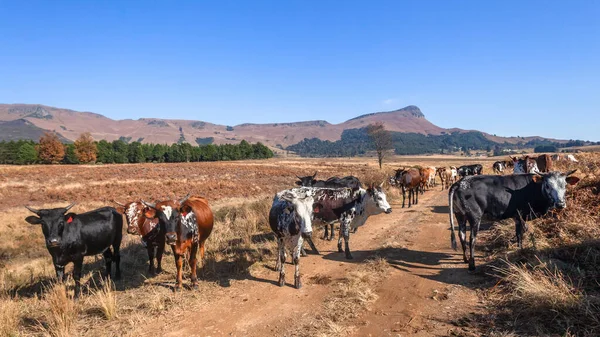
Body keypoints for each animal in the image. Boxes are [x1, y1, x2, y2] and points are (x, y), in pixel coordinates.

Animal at [448, 169, 580, 270]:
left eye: (565, 185)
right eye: (548, 185)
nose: (560, 204)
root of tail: (460, 183)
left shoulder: (517, 217)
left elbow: (519, 233)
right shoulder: (520, 216)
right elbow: (521, 234)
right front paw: (520, 251)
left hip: (460, 215)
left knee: (462, 235)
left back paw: (465, 258)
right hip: (475, 217)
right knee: (472, 238)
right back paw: (472, 264)